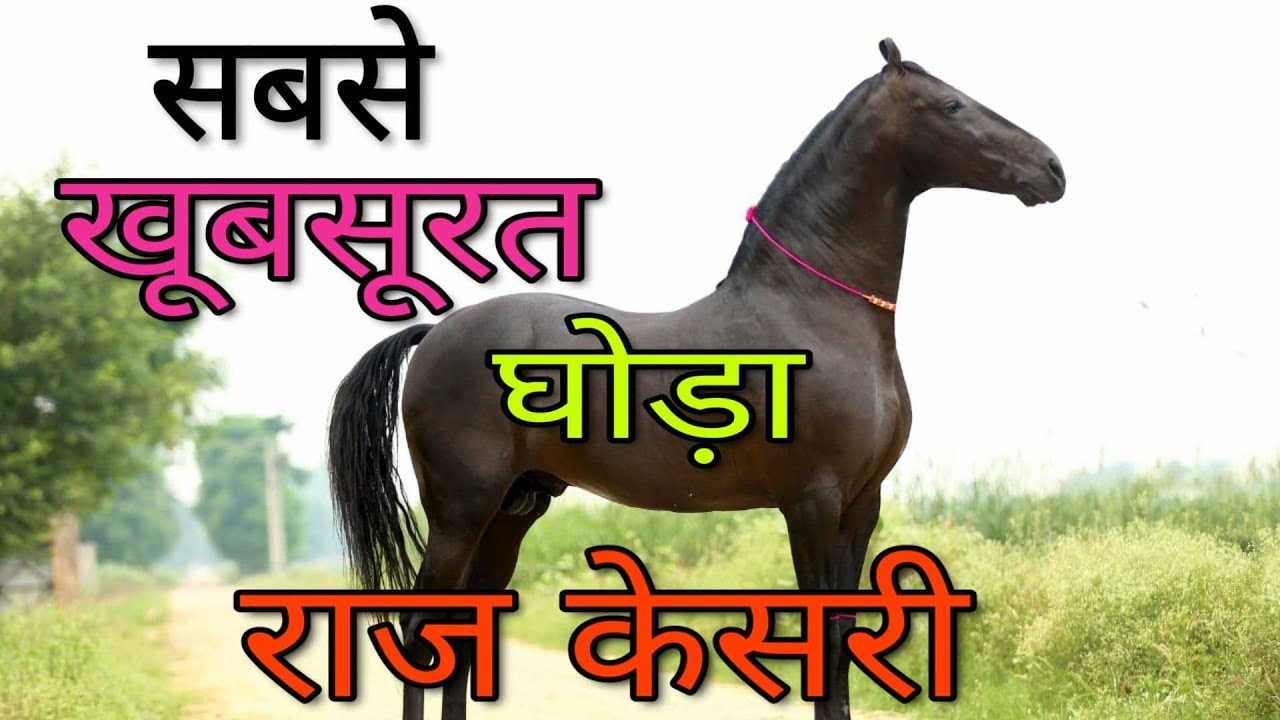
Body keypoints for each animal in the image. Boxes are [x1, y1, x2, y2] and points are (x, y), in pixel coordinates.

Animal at [328, 38, 1064, 720]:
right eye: (953, 106)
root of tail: (435, 333)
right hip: (462, 508)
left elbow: (844, 635)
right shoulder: (812, 500)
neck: (812, 309)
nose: (1052, 169)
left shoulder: (863, 501)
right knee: (419, 632)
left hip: (514, 508)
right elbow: (824, 641)